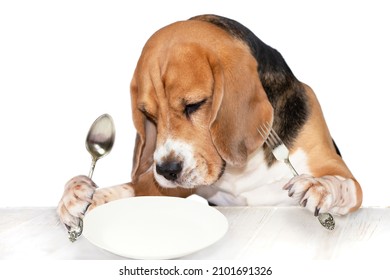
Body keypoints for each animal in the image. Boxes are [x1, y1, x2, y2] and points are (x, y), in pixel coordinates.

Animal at [56, 14, 362, 231]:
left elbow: (341, 185)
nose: (166, 170)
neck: (239, 169)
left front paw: (318, 187)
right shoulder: (167, 189)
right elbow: (130, 188)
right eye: (149, 116)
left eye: (194, 105)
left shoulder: (339, 172)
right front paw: (79, 197)